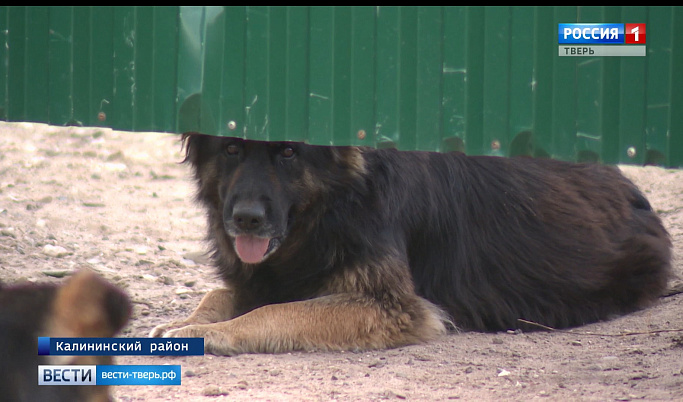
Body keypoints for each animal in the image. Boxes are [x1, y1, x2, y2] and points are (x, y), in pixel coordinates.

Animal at [151, 133, 672, 356]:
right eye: (231, 150)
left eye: (289, 153)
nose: (245, 220)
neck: (338, 202)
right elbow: (222, 294)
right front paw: (184, 323)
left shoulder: (392, 307)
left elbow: (273, 313)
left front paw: (205, 333)